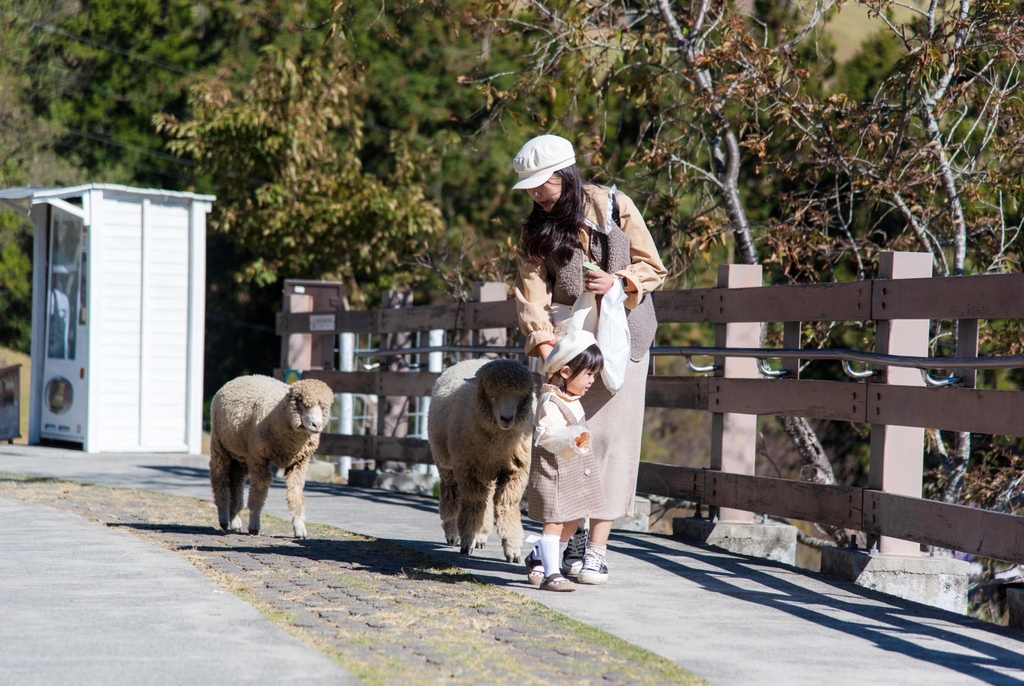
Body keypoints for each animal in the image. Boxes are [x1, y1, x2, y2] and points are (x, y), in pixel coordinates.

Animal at [205, 376, 333, 544]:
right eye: (301, 401)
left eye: (324, 406)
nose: (316, 425)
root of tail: (237, 379)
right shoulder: (258, 458)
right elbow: (259, 489)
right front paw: (254, 524)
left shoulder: (300, 462)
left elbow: (295, 492)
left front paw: (299, 528)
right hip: (220, 445)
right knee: (220, 479)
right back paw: (224, 518)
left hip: (241, 454)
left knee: (236, 481)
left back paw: (235, 521)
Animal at [425, 360, 536, 565]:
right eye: (492, 394)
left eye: (520, 396)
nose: (507, 419)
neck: (497, 446)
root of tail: (471, 360)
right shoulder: (467, 469)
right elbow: (474, 503)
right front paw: (467, 540)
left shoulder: (516, 472)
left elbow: (506, 505)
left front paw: (512, 548)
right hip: (446, 464)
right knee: (452, 495)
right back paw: (452, 532)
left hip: (486, 472)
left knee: (487, 500)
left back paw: (481, 536)